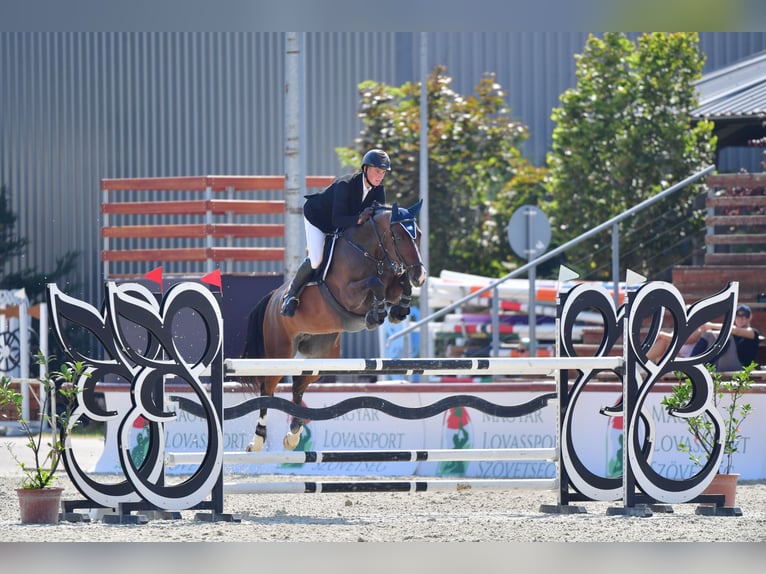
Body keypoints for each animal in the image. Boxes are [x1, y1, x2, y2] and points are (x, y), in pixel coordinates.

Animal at [243, 202, 428, 454]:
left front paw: (398, 311)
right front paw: (377, 314)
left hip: (320, 356)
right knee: (267, 390)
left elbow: (399, 283)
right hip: (279, 353)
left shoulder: (391, 284)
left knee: (298, 385)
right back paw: (258, 440)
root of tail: (273, 297)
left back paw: (294, 434)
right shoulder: (349, 295)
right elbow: (375, 283)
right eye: (398, 236)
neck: (371, 252)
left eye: (418, 234)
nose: (421, 277)